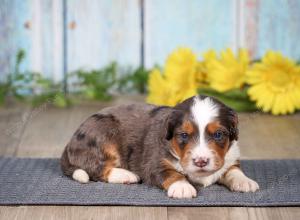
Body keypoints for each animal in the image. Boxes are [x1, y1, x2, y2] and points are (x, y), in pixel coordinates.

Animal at [60, 95, 258, 199]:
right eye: (183, 135)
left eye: (218, 135)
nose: (201, 161)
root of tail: (69, 142)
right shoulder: (154, 163)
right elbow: (171, 173)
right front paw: (182, 187)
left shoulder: (230, 157)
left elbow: (233, 170)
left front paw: (245, 181)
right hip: (103, 134)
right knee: (96, 168)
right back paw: (126, 175)